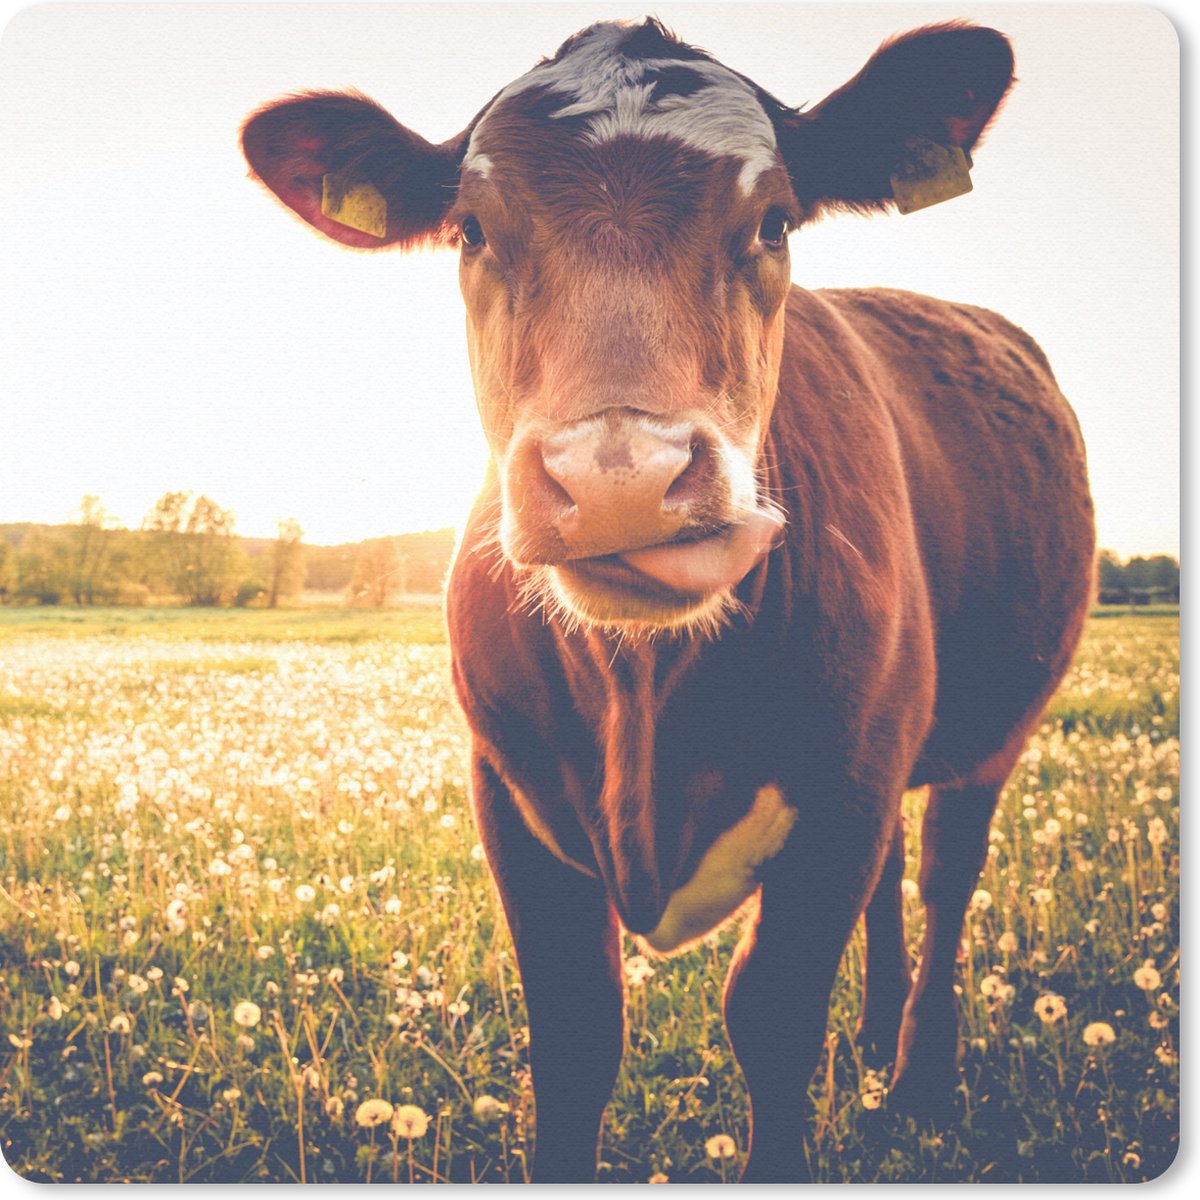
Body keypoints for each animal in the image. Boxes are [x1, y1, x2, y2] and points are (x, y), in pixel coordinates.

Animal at [242, 18, 1095, 1182]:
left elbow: (772, 1018)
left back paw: (916, 1079)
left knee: (944, 879)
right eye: (471, 229)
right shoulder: (509, 793)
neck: (645, 694)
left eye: (774, 219)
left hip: (986, 738)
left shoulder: (843, 795)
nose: (621, 477)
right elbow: (575, 1034)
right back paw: (875, 1040)